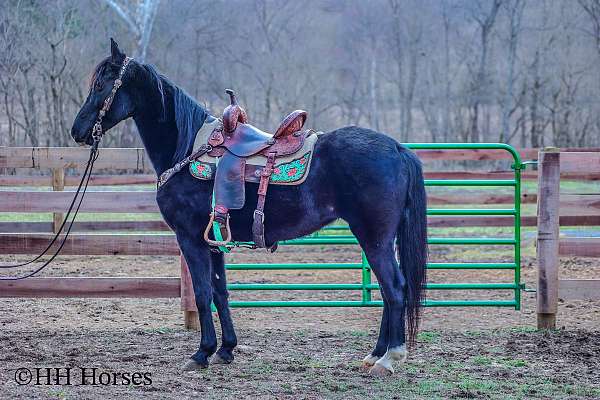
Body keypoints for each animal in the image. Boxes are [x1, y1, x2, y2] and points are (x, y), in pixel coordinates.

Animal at [71, 39, 426, 376]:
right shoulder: (213, 240)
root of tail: (397, 148)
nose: (78, 131)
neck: (185, 148)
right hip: (379, 239)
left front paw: (201, 353)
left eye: (101, 84)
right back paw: (375, 354)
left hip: (375, 238)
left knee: (395, 288)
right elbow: (219, 292)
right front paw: (225, 350)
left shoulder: (190, 239)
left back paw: (389, 358)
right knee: (389, 291)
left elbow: (202, 293)